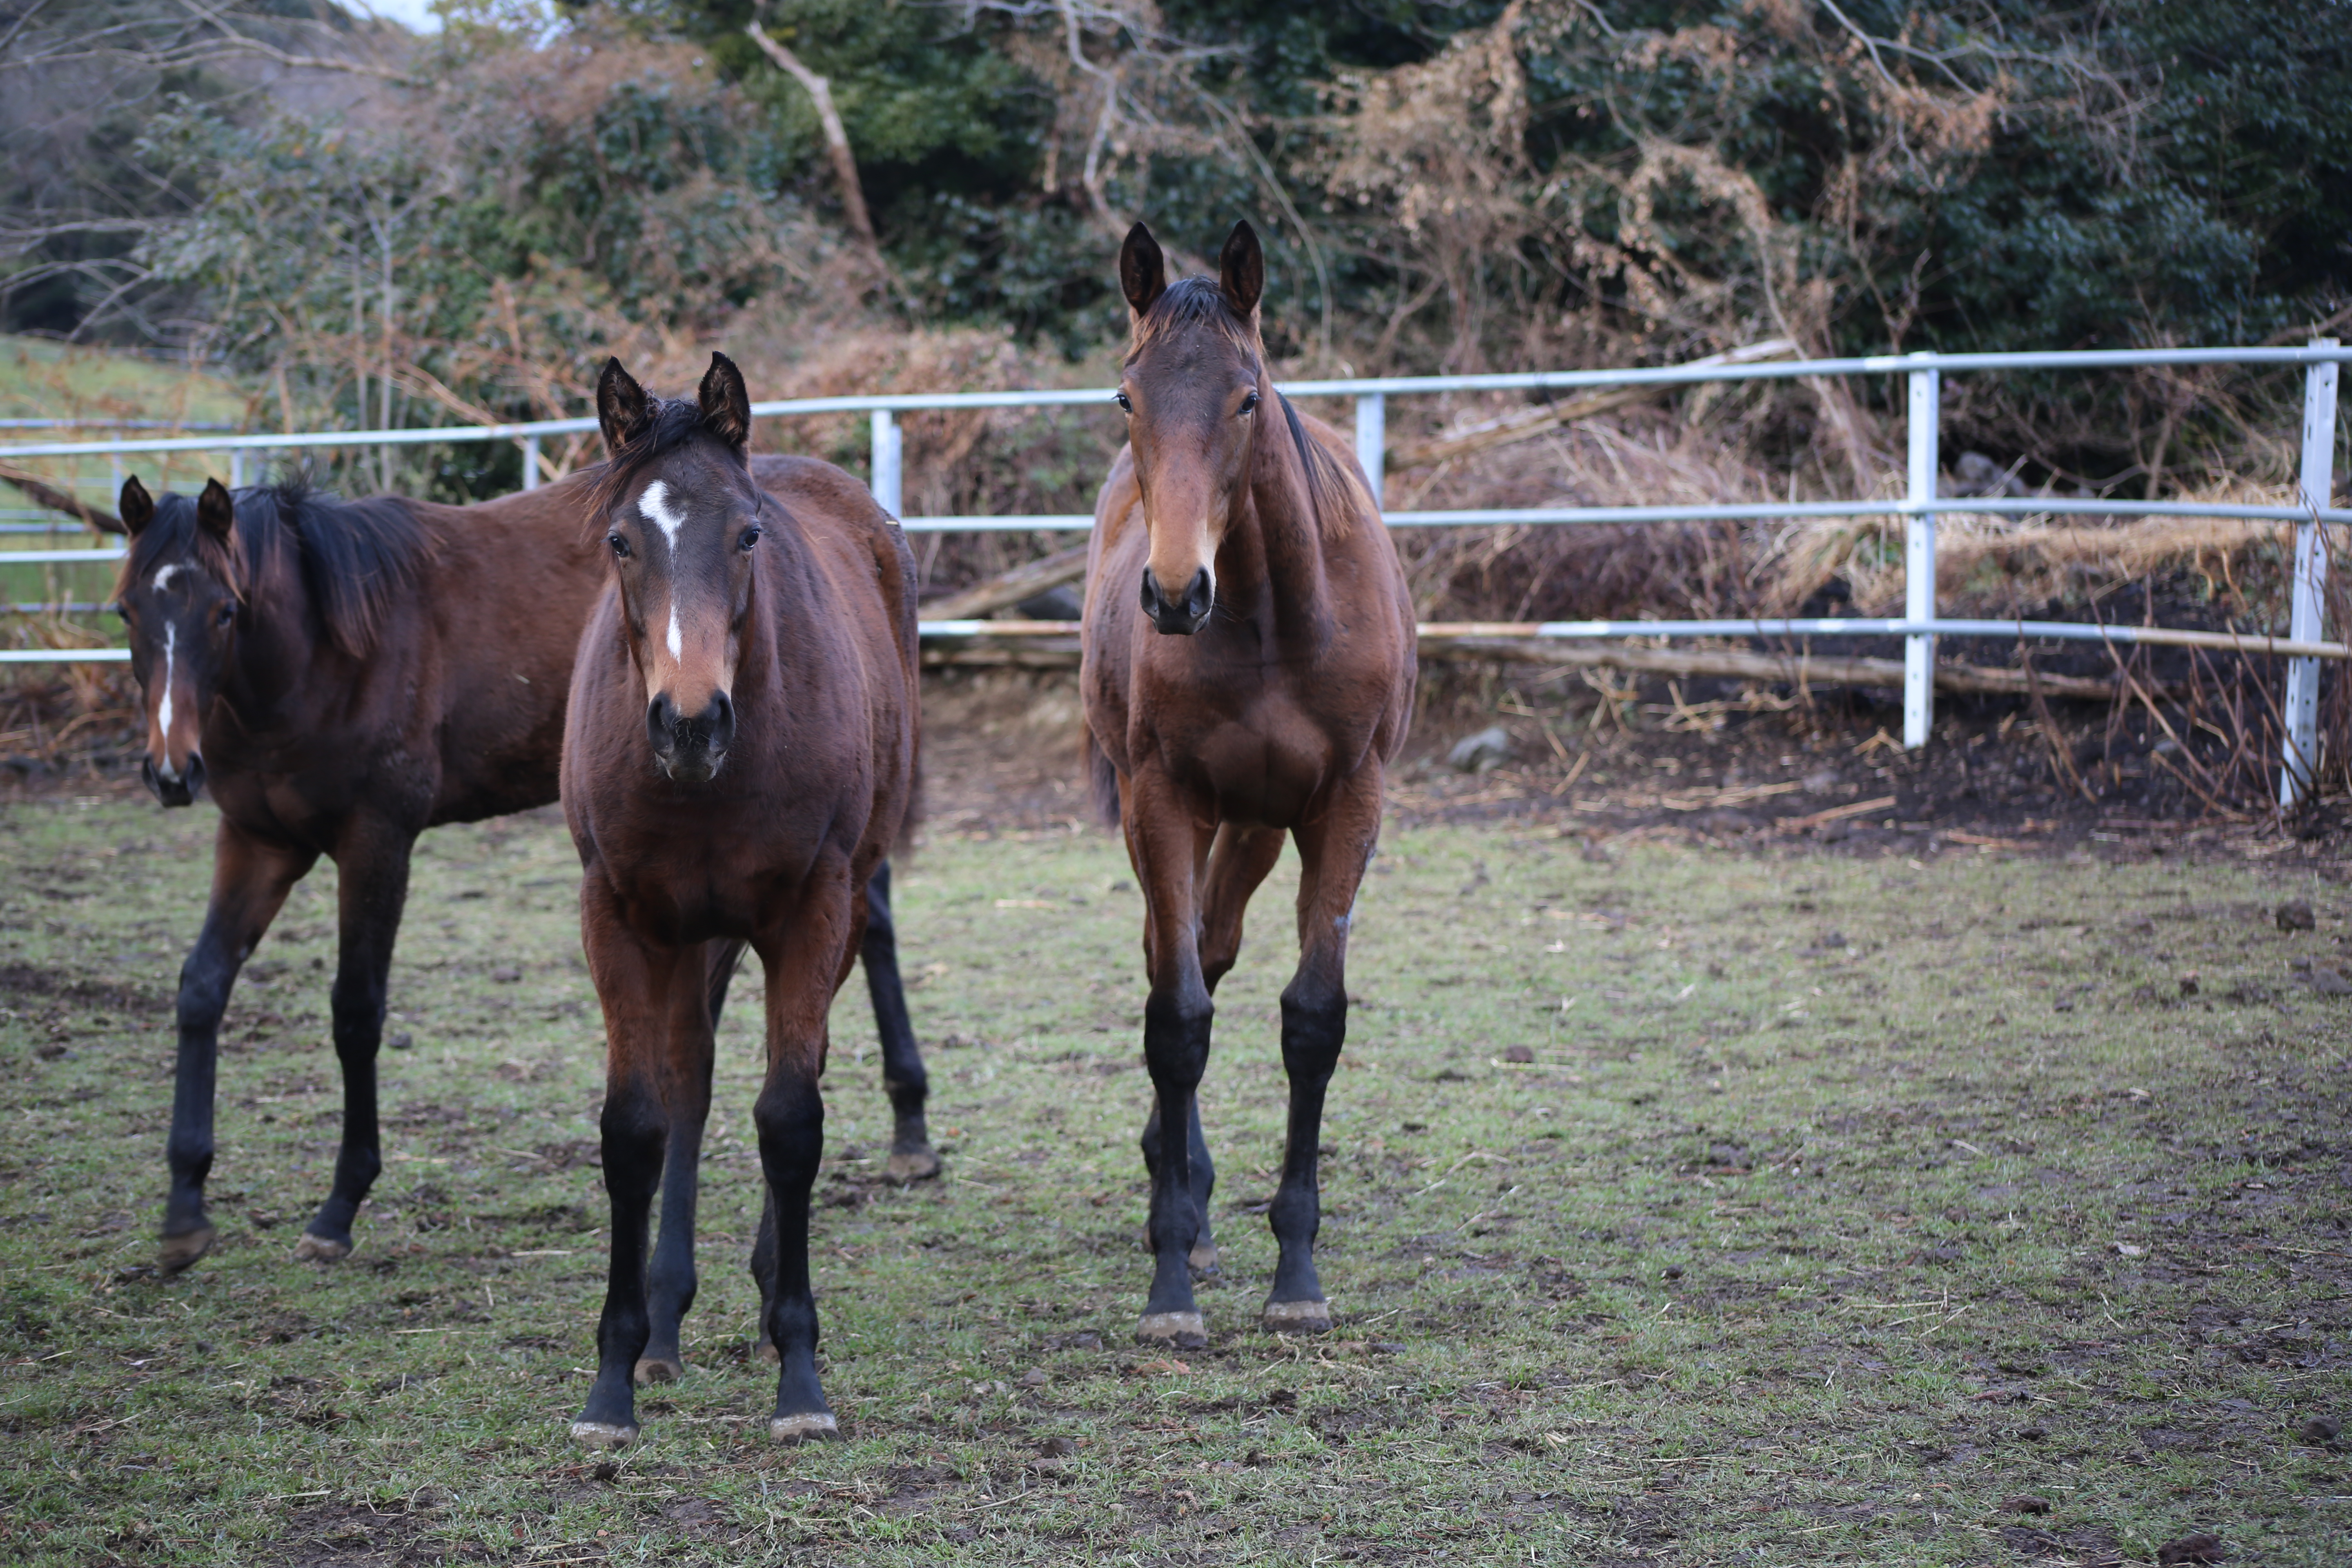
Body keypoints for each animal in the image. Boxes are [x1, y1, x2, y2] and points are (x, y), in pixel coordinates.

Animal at [114, 465, 931, 1373]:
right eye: (126, 613)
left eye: (224, 610)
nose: (172, 772)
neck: (322, 649)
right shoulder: (258, 840)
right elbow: (200, 987)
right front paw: (184, 1210)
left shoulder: (376, 838)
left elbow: (356, 1012)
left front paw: (338, 1206)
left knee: (869, 932)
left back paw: (909, 1130)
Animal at [562, 355, 917, 1448]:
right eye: (621, 540)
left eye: (749, 534)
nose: (689, 723)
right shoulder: (619, 916)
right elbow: (637, 1125)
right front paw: (613, 1380)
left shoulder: (812, 911)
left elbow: (789, 1120)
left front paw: (798, 1372)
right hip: (688, 936)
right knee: (691, 1078)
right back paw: (668, 1319)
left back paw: (759, 1302)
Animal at [1077, 221, 1411, 1354]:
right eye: (1127, 397)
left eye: (1246, 398)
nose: (1177, 593)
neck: (1271, 613)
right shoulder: (1160, 804)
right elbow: (1174, 1022)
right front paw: (1171, 1281)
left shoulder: (1344, 806)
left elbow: (1311, 1020)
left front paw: (1296, 1273)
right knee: (1174, 961)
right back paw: (1175, 1197)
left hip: (1259, 827)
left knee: (1214, 947)